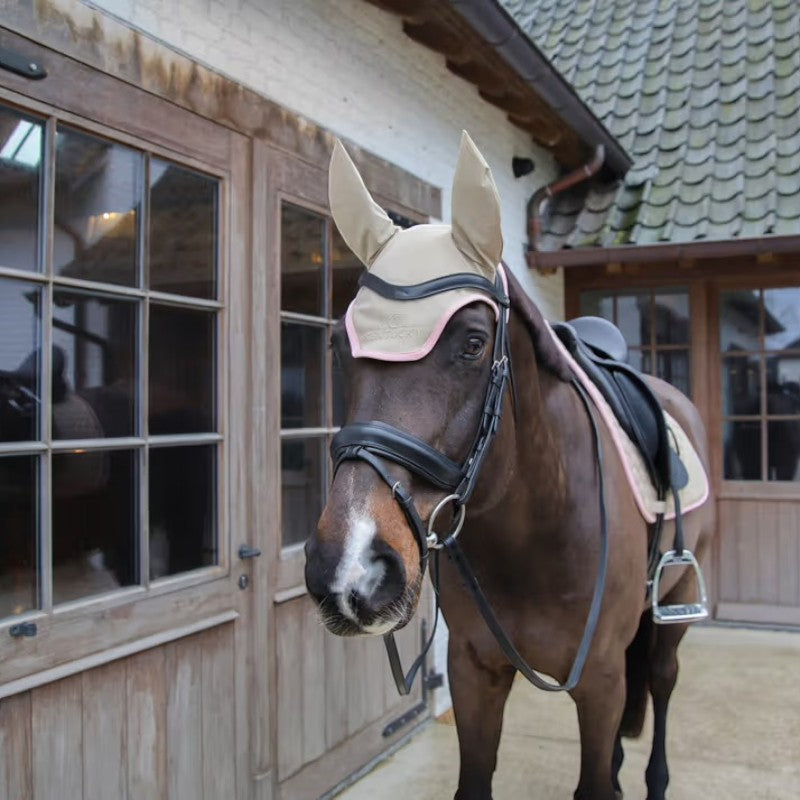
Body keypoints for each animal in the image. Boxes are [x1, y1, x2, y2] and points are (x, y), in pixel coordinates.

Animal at [304, 133, 714, 800]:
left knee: (660, 678)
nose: (350, 569)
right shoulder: (474, 673)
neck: (534, 529)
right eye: (339, 345)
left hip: (671, 615)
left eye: (473, 342)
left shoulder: (599, 681)